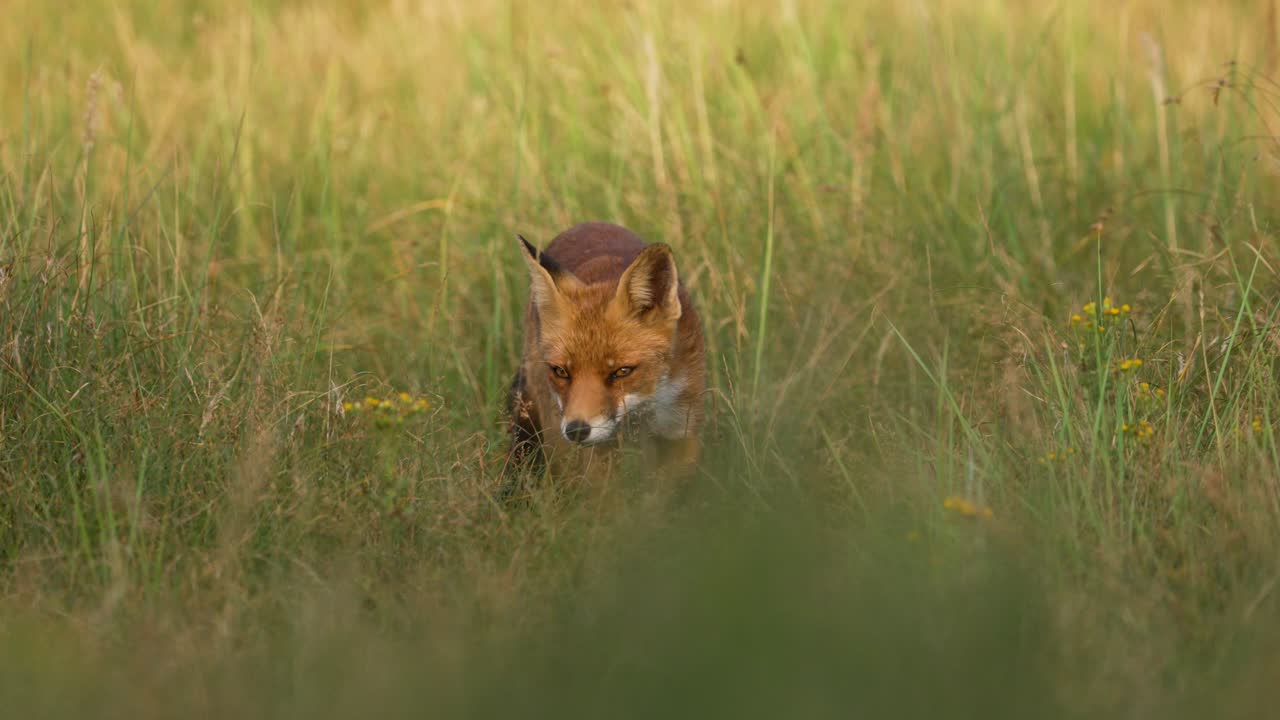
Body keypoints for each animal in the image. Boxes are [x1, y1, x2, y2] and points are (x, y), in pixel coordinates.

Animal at [503, 222, 705, 496]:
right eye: (561, 371)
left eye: (622, 371)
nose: (577, 431)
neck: (643, 413)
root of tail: (588, 223)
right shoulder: (598, 452)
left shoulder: (681, 433)